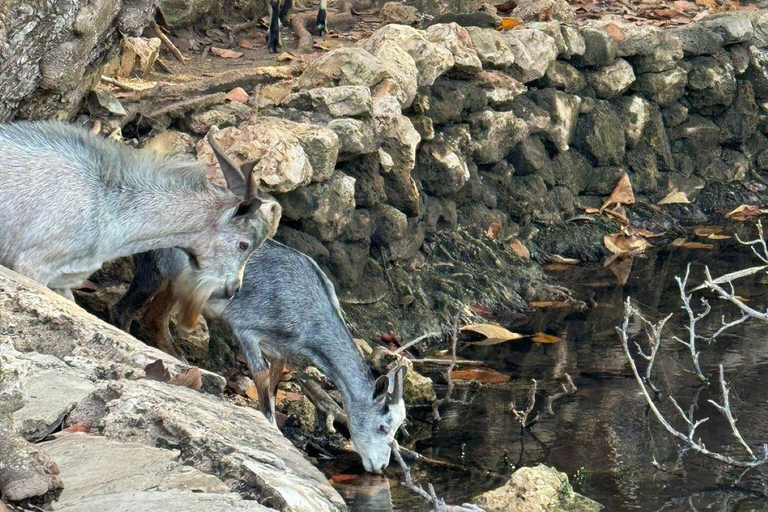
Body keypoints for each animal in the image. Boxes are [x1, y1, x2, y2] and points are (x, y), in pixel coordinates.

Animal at [114, 239, 408, 472]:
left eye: (396, 428)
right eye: (382, 426)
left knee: (155, 320)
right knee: (124, 310)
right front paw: (273, 429)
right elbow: (261, 375)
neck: (304, 309)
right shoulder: (245, 328)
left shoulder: (280, 348)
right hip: (155, 269)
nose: (380, 466)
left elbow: (275, 383)